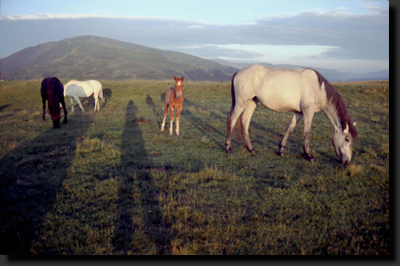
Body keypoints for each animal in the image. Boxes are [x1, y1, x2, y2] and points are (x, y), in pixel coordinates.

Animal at [225, 64, 360, 164]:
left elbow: (290, 128)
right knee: (232, 121)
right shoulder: (308, 111)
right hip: (241, 103)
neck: (317, 88)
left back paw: (251, 148)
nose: (346, 161)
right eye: (347, 138)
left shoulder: (299, 112)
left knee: (245, 122)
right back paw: (228, 148)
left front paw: (281, 150)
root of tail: (239, 72)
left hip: (252, 102)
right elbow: (307, 132)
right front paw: (309, 155)